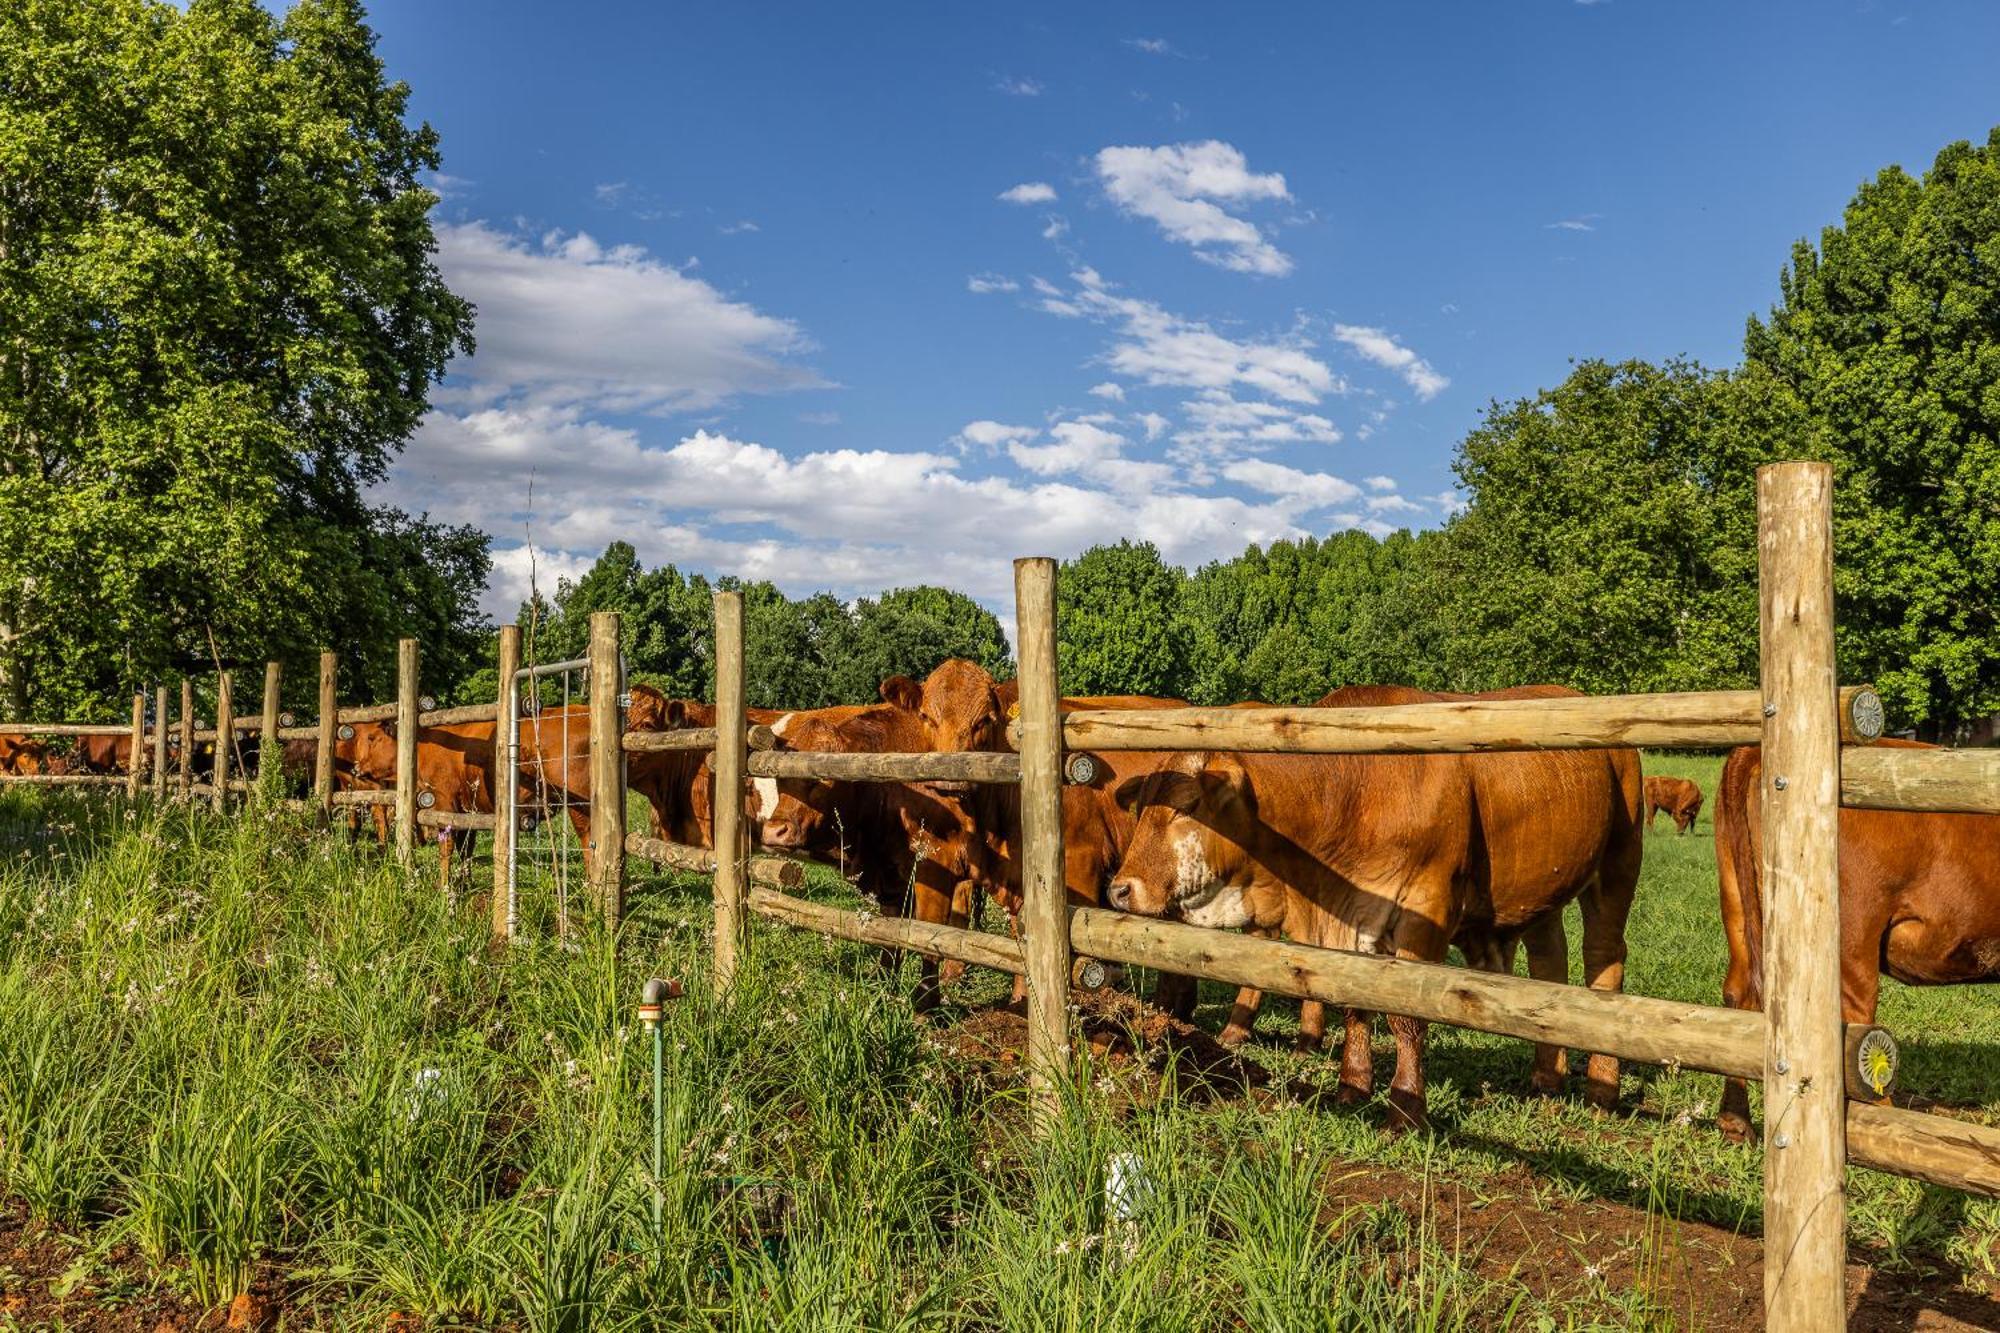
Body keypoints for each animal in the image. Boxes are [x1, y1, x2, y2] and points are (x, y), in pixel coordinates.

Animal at [1112, 680, 1640, 1128]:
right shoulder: (1345, 918)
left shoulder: (1426, 912)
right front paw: (1353, 1086)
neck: (1352, 791)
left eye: (1186, 807)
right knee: (1550, 965)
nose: (1121, 888)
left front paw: (1406, 1109)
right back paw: (1547, 1079)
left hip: (1618, 866)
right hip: (1542, 894)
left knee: (1604, 964)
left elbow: (1405, 1014)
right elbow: (1356, 1001)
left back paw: (1601, 1090)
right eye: (1143, 808)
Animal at [1712, 736, 2000, 1128]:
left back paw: (1736, 1121)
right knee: (1857, 1022)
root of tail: (1753, 749)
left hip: (1737, 905)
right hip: (1852, 937)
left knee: (1738, 997)